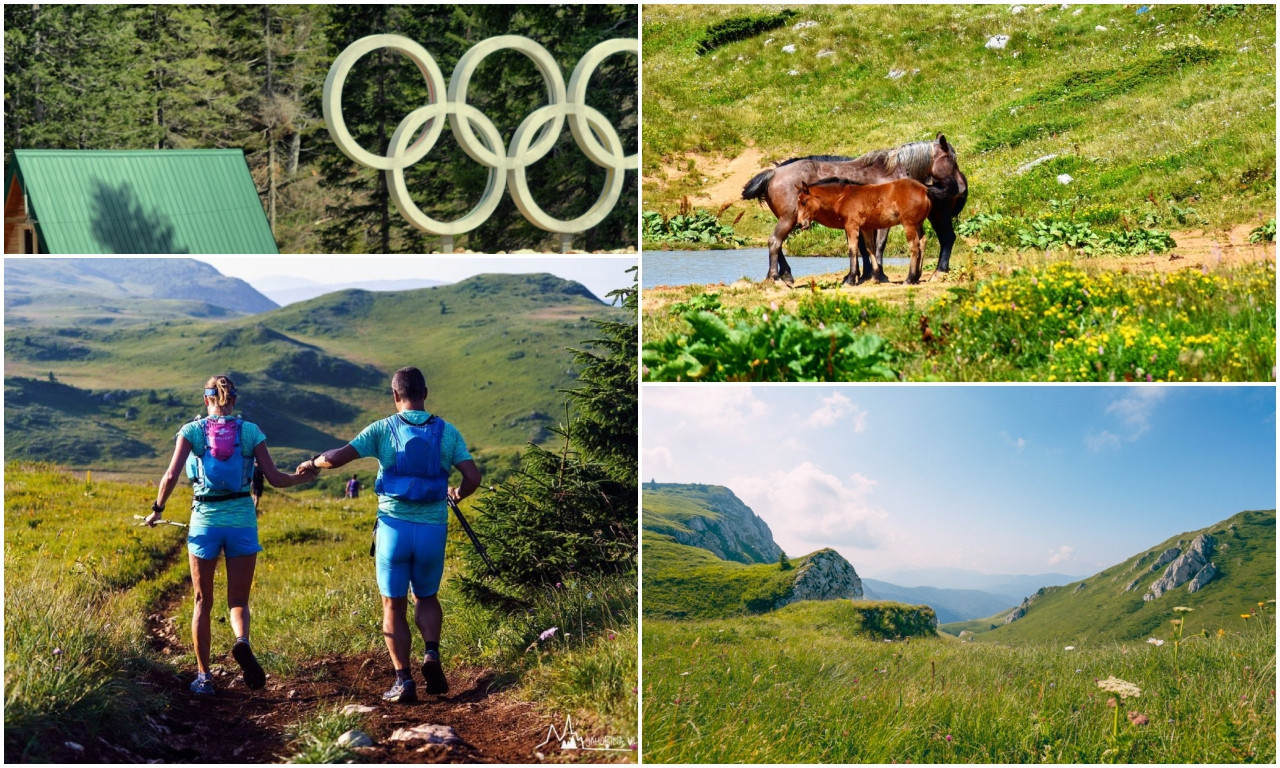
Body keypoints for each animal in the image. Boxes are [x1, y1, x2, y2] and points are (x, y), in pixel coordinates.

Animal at [798, 176, 931, 285]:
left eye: (804, 202)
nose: (800, 223)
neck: (844, 197)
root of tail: (924, 190)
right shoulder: (867, 228)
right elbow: (870, 248)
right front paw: (875, 277)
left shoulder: (852, 227)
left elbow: (853, 251)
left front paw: (850, 280)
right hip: (918, 224)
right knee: (923, 242)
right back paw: (917, 277)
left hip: (909, 225)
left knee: (914, 247)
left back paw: (909, 279)